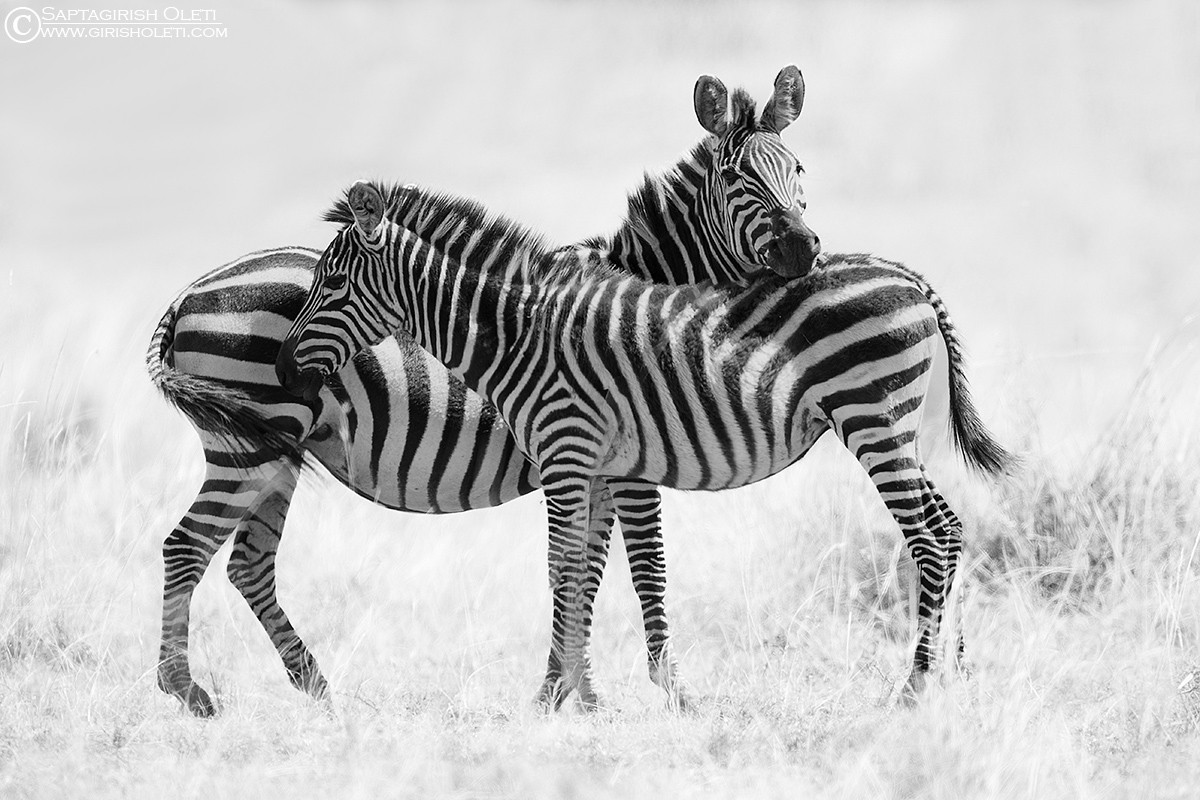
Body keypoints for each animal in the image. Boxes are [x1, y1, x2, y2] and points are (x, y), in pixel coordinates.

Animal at [147, 65, 825, 714]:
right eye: (736, 178)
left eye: (799, 170)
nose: (802, 248)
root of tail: (188, 293)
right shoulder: (625, 465)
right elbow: (639, 567)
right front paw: (662, 695)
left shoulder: (593, 464)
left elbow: (584, 571)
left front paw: (568, 692)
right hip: (246, 450)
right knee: (186, 546)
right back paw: (188, 690)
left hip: (275, 453)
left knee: (248, 561)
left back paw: (314, 686)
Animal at [274, 139, 1012, 705]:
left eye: (331, 285)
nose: (281, 367)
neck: (516, 334)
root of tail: (908, 276)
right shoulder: (596, 464)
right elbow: (583, 570)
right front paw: (572, 693)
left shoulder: (569, 452)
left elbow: (570, 566)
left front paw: (567, 696)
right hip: (893, 428)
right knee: (948, 527)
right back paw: (952, 676)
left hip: (873, 419)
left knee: (929, 536)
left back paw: (914, 687)